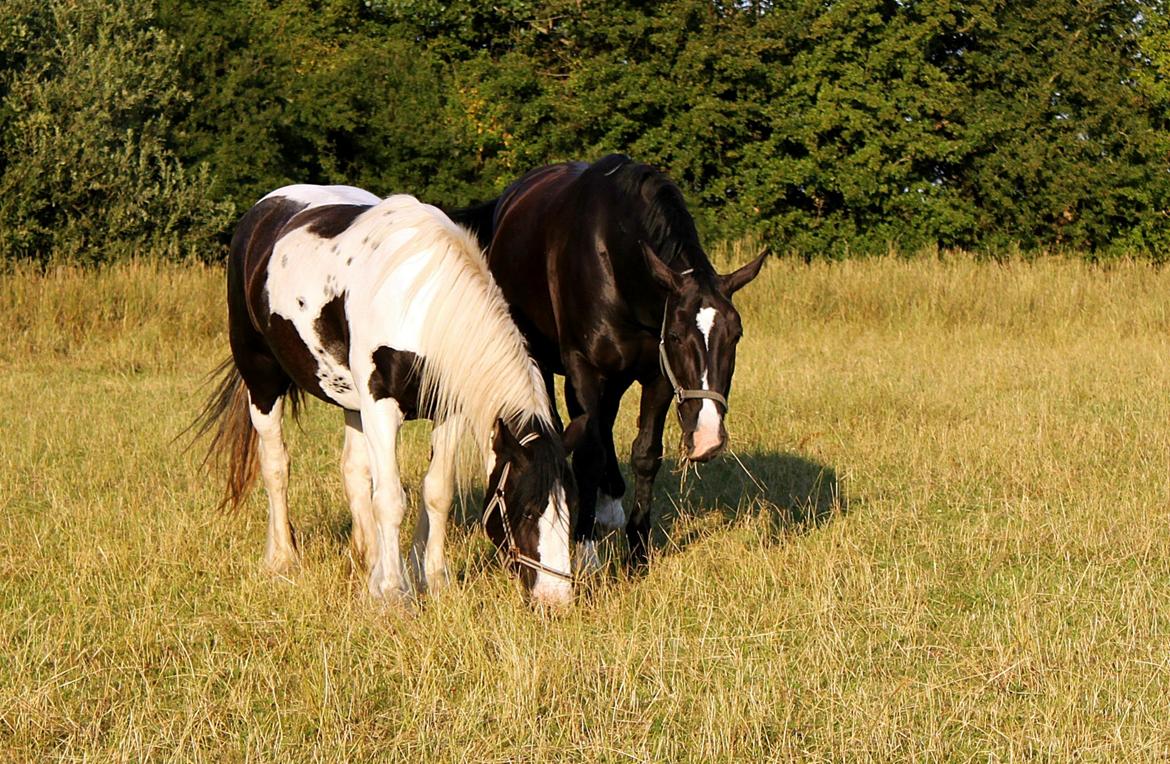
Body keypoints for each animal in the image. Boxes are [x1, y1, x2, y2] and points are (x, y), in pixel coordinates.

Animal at [196, 183, 580, 603]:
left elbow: (437, 493)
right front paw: (394, 592)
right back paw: (283, 558)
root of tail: (262, 212)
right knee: (276, 466)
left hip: (349, 398)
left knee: (353, 470)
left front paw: (433, 579)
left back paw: (366, 558)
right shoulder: (381, 407)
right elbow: (391, 500)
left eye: (571, 511)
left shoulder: (448, 412)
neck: (422, 306)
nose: (556, 600)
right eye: (526, 509)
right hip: (262, 380)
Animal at [449, 154, 767, 568]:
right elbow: (588, 453)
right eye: (676, 335)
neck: (614, 262)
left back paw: (610, 501)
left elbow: (646, 453)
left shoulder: (657, 376)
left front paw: (638, 551)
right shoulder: (584, 369)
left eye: (736, 335)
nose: (708, 437)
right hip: (543, 359)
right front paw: (586, 548)